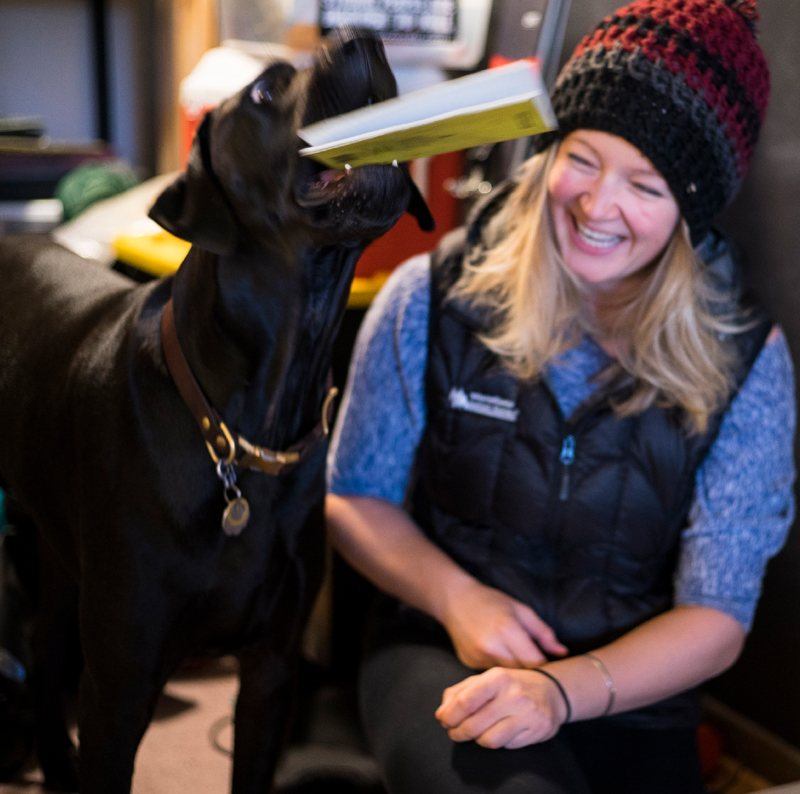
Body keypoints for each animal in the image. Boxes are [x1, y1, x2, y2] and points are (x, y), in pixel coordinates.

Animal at [0, 29, 432, 792]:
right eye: (264, 91)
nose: (365, 38)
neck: (246, 430)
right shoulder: (120, 687)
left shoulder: (271, 672)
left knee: (45, 656)